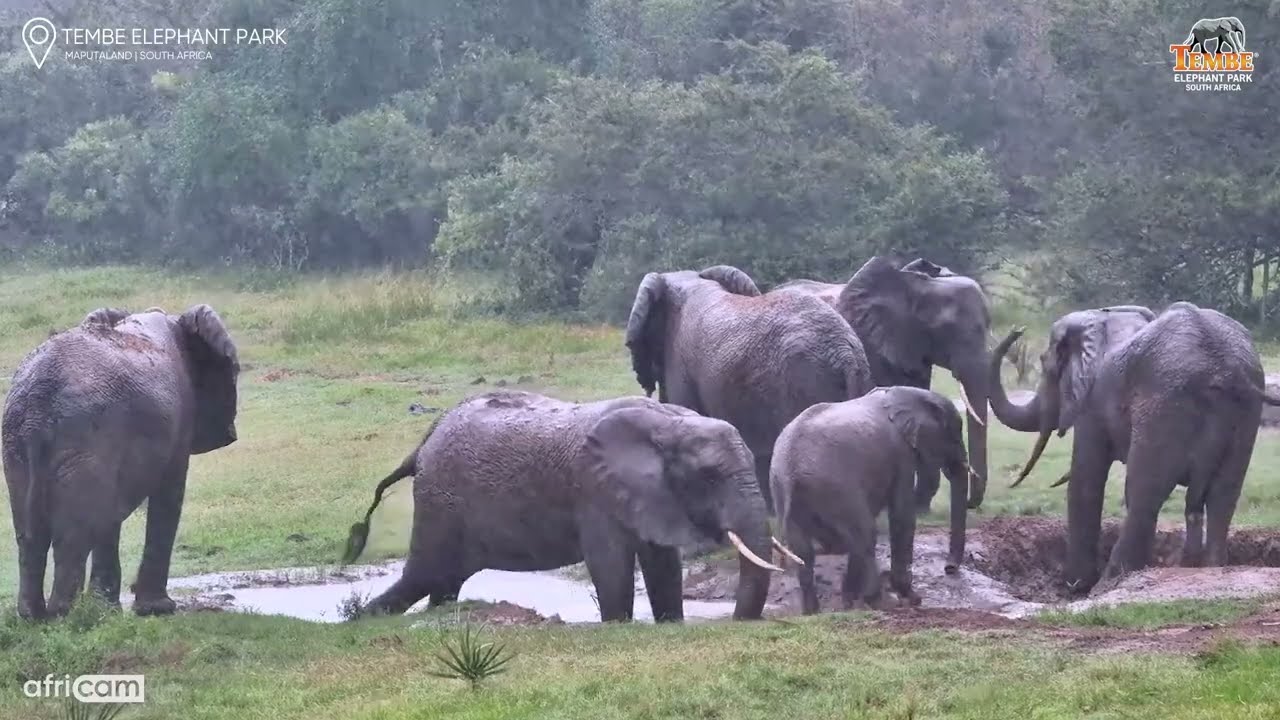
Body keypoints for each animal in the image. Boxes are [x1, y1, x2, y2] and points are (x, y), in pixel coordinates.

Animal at [2, 305, 240, 619]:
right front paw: (158, 609)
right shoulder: (179, 417)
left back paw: (35, 615)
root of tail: (37, 401)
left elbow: (110, 515)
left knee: (32, 532)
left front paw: (109, 610)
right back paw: (67, 613)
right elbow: (168, 494)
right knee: (72, 532)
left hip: (17, 442)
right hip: (84, 436)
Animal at [342, 390, 797, 622]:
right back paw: (363, 618)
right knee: (424, 574)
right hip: (441, 501)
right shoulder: (591, 489)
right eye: (709, 476)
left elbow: (662, 563)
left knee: (441, 581)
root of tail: (423, 444)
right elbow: (610, 563)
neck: (668, 421)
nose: (740, 620)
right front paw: (618, 626)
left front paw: (671, 623)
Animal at [771, 386, 976, 614]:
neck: (906, 394)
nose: (949, 568)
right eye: (955, 435)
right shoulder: (901, 453)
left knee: (806, 550)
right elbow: (902, 513)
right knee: (864, 533)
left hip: (784, 491)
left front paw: (851, 600)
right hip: (837, 487)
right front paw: (912, 598)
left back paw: (816, 610)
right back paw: (879, 602)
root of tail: (791, 470)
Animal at [989, 302, 1280, 594]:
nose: (1018, 329)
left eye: (1045, 364)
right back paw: (1204, 567)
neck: (1099, 320)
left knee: (1143, 494)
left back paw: (1107, 585)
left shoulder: (1092, 404)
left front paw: (1076, 586)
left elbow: (1086, 481)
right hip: (1245, 414)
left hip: (1166, 405)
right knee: (1223, 496)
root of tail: (1227, 368)